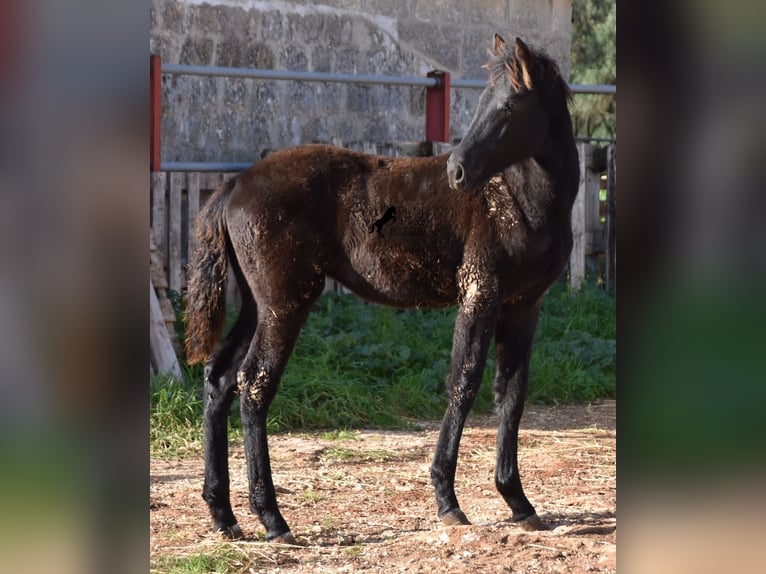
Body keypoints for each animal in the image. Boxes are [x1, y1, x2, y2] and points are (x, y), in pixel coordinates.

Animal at [186, 36, 580, 544]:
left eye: (510, 104)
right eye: (482, 102)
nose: (457, 171)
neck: (517, 197)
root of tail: (233, 186)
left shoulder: (524, 306)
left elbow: (511, 394)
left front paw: (519, 502)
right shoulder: (480, 293)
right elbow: (463, 382)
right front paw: (448, 501)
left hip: (258, 304)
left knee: (219, 379)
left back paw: (224, 515)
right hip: (285, 303)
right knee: (253, 384)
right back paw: (272, 519)